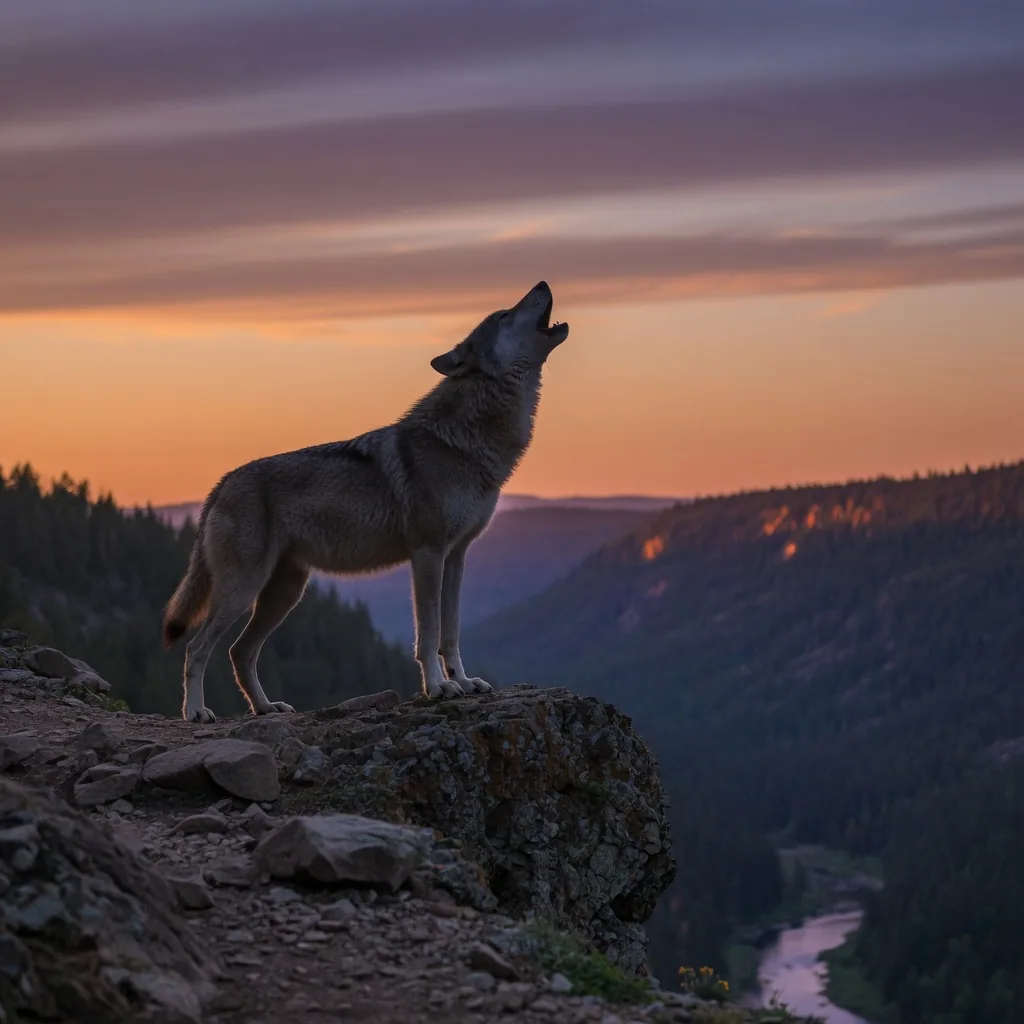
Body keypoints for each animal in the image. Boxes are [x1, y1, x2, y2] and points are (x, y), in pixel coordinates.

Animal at [162, 281, 569, 723]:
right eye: (503, 315)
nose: (543, 283)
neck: (464, 440)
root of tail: (221, 484)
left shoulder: (457, 555)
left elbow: (451, 632)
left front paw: (463, 681)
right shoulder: (427, 554)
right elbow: (428, 634)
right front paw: (438, 688)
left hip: (284, 593)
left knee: (240, 652)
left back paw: (266, 707)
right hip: (243, 590)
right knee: (196, 649)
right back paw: (196, 712)